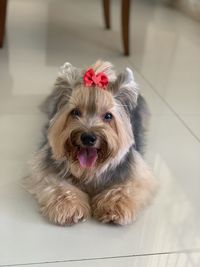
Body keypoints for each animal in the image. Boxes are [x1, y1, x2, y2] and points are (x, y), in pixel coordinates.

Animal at [23, 60, 158, 226]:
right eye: (75, 112)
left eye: (108, 116)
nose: (88, 137)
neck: (90, 170)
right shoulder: (46, 168)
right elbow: (57, 183)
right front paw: (69, 206)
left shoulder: (136, 173)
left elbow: (126, 187)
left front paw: (114, 206)